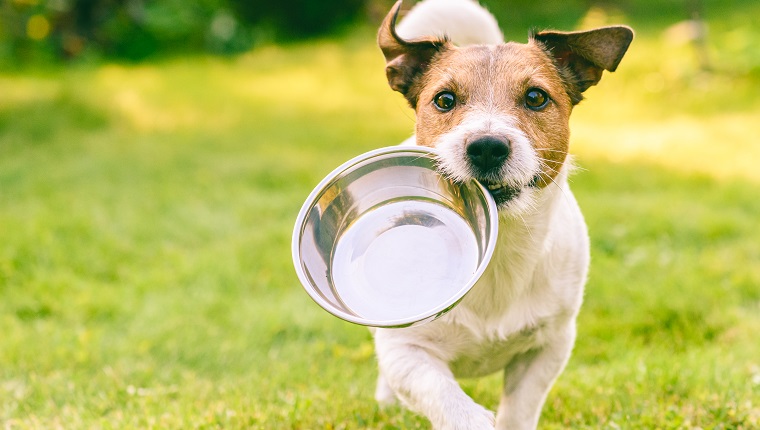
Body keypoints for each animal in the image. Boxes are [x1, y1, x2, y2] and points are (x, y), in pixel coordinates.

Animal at [372, 0, 632, 430]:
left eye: (536, 97)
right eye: (444, 100)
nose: (487, 147)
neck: (499, 248)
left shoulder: (548, 348)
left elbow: (519, 410)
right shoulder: (407, 352)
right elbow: (448, 401)